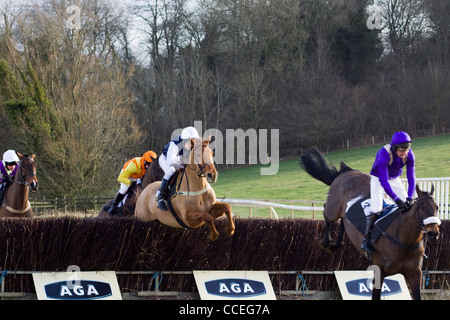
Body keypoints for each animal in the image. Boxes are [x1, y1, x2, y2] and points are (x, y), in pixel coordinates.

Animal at [300, 148, 442, 300]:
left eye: (437, 207)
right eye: (421, 207)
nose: (434, 233)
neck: (405, 241)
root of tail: (346, 172)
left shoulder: (414, 273)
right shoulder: (379, 271)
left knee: (344, 221)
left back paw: (338, 244)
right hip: (333, 209)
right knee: (327, 214)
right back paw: (326, 243)